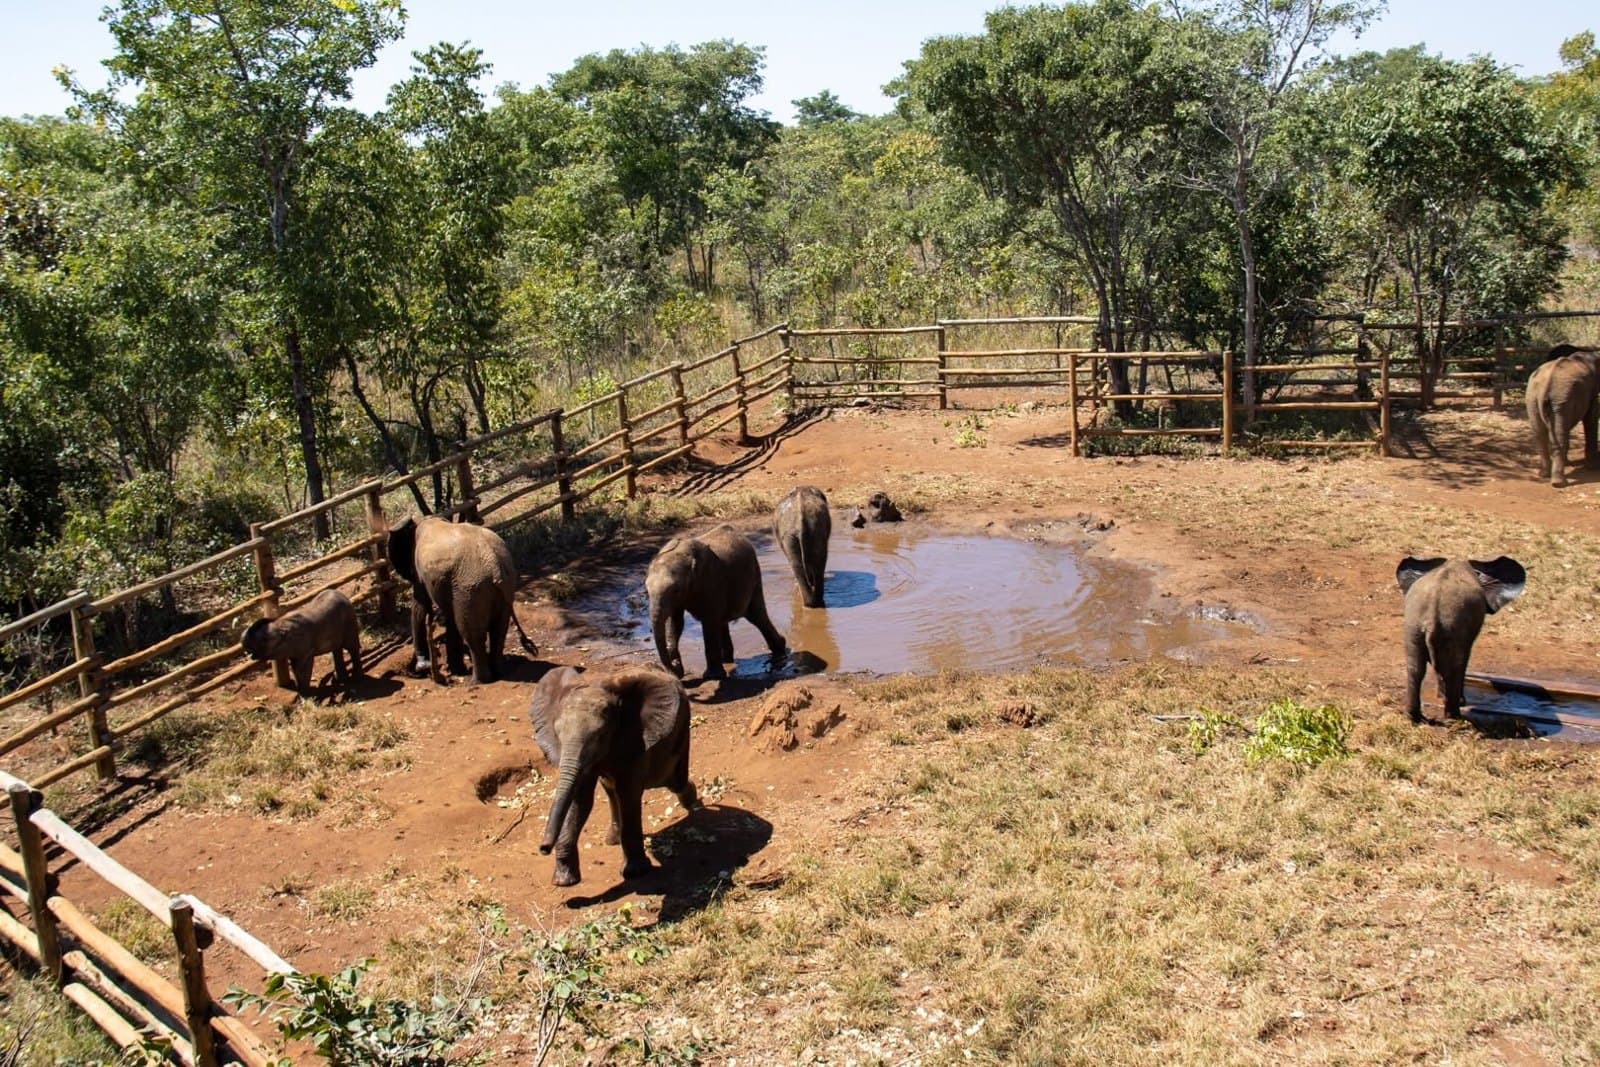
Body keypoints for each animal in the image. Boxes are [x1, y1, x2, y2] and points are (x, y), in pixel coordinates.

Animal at [387, 515, 536, 684]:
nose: (421, 667)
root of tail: (495, 565)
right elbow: (448, 616)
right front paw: (454, 669)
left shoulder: (420, 571)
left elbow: (420, 606)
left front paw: (424, 666)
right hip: (501, 584)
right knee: (498, 630)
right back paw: (498, 673)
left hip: (472, 591)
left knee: (472, 635)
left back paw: (477, 681)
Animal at [531, 665, 699, 887]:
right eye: (558, 734)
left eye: (601, 735)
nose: (543, 849)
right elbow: (580, 801)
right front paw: (564, 881)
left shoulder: (634, 739)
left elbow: (628, 794)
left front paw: (635, 872)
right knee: (611, 789)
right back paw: (612, 840)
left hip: (682, 730)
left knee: (674, 781)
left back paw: (692, 802)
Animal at [646, 524, 787, 680]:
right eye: (646, 590)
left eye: (676, 590)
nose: (676, 670)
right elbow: (676, 623)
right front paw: (678, 666)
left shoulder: (711, 580)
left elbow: (709, 622)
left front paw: (712, 676)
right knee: (724, 621)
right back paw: (727, 660)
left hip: (754, 575)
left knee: (756, 616)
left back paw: (780, 650)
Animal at [1396, 556, 1526, 723]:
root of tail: (1432, 613)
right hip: (1451, 627)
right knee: (1454, 667)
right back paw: (1455, 718)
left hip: (1414, 624)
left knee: (1416, 668)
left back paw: (1415, 718)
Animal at [1526, 344, 1600, 487]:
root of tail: (1546, 385)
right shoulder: (1591, 389)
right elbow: (1591, 418)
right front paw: (1593, 467)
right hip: (1559, 399)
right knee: (1556, 435)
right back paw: (1559, 483)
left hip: (1533, 397)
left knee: (1541, 434)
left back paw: (1544, 475)